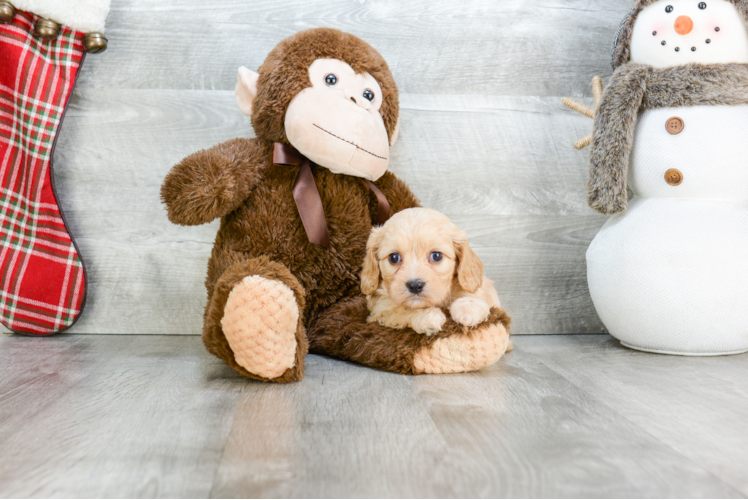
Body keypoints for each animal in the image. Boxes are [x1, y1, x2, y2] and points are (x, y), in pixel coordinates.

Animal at [362, 207, 502, 336]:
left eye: (436, 256)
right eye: (394, 257)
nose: (415, 285)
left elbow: (474, 292)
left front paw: (469, 306)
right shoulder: (379, 309)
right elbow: (400, 310)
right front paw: (426, 315)